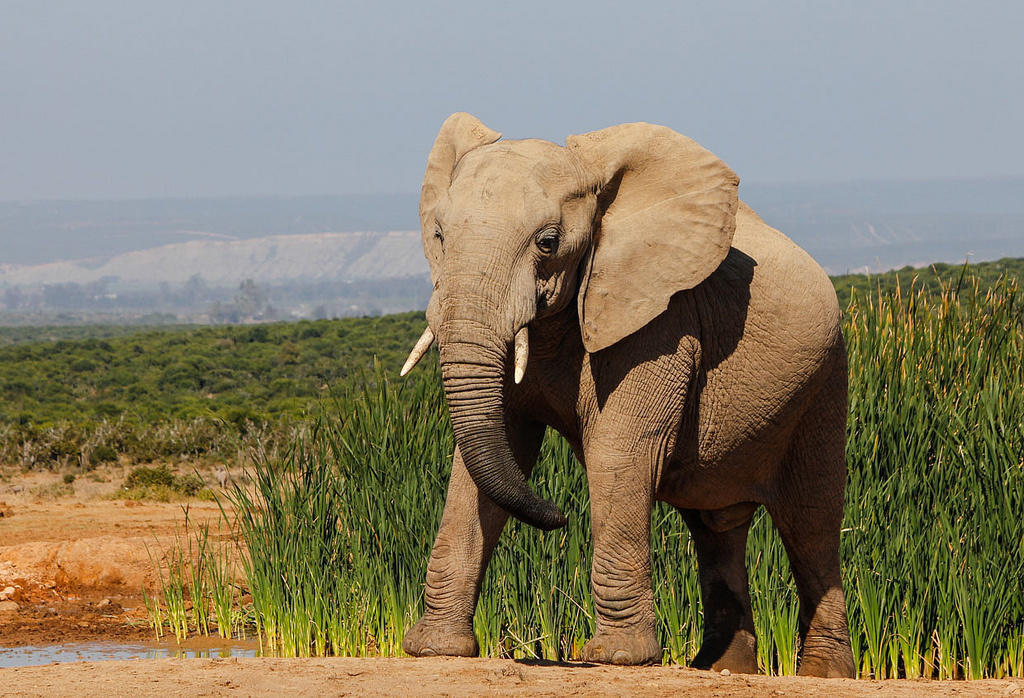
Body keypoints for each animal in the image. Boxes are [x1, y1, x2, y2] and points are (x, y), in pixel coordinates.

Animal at [399, 112, 856, 675]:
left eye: (548, 243)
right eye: (439, 235)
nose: (559, 517)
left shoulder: (659, 319)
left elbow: (619, 454)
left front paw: (616, 659)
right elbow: (483, 458)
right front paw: (434, 649)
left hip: (826, 377)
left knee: (810, 523)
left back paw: (823, 674)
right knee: (717, 525)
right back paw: (721, 670)